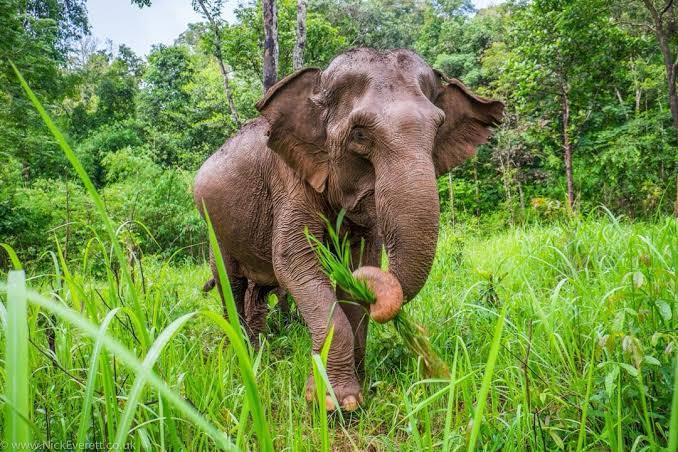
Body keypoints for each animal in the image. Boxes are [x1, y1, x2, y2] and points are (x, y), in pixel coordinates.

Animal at [193, 48, 503, 411]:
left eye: (438, 127)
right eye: (359, 134)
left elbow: (360, 263)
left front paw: (359, 389)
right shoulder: (288, 180)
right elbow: (294, 260)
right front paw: (332, 402)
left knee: (257, 291)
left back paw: (262, 351)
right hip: (215, 230)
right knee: (232, 285)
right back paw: (246, 355)